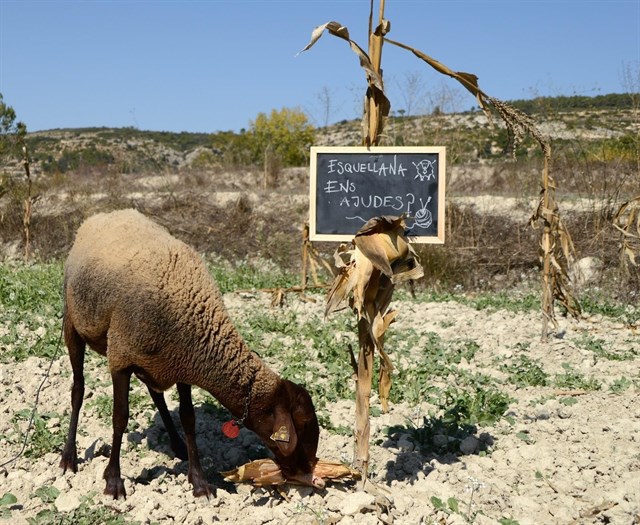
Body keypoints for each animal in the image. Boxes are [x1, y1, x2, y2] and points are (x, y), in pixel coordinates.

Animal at [59, 209, 323, 499]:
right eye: (303, 424)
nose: (308, 472)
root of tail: (106, 214)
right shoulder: (120, 358)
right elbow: (120, 418)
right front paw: (113, 481)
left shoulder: (179, 366)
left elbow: (189, 419)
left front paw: (199, 481)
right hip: (73, 323)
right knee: (78, 389)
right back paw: (68, 457)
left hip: (153, 364)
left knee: (156, 395)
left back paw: (177, 445)